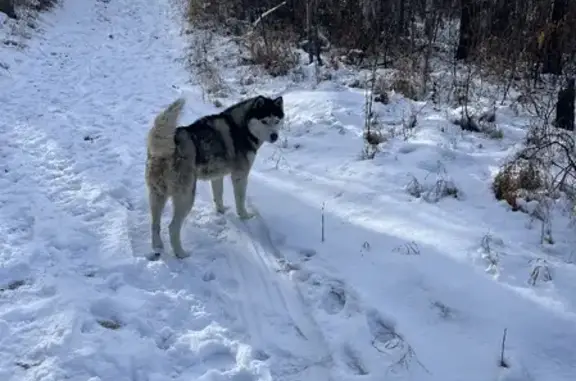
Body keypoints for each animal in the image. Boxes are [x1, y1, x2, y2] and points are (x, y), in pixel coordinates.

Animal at [145, 94, 284, 258]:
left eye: (276, 120)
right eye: (264, 121)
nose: (274, 136)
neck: (242, 127)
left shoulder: (217, 176)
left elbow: (219, 195)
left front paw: (221, 211)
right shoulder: (240, 175)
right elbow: (240, 200)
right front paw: (244, 216)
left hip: (157, 195)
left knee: (155, 224)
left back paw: (158, 246)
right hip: (186, 197)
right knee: (172, 227)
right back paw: (181, 254)